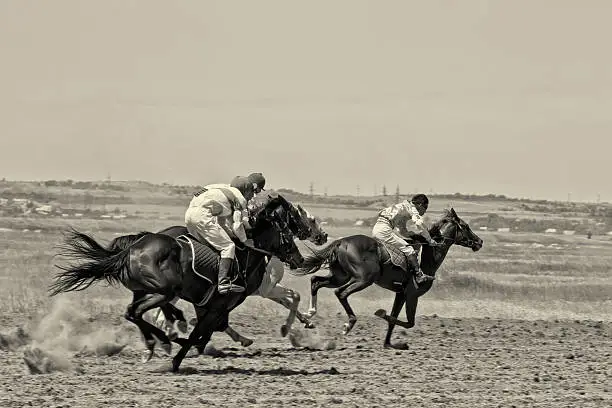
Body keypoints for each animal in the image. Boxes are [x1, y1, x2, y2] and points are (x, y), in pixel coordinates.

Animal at [50, 196, 306, 372]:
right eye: (288, 231)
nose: (299, 259)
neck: (246, 253)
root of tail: (132, 248)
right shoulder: (218, 305)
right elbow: (200, 333)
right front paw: (175, 360)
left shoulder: (208, 305)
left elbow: (205, 332)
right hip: (163, 291)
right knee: (138, 312)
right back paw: (164, 340)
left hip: (147, 290)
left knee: (133, 313)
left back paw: (158, 341)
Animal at [286, 209, 482, 350]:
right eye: (465, 226)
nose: (479, 242)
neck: (427, 260)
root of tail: (341, 242)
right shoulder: (412, 295)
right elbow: (408, 322)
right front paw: (380, 314)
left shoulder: (401, 294)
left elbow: (394, 319)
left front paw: (389, 344)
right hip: (363, 279)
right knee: (340, 293)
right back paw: (348, 324)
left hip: (340, 276)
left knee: (316, 281)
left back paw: (310, 314)